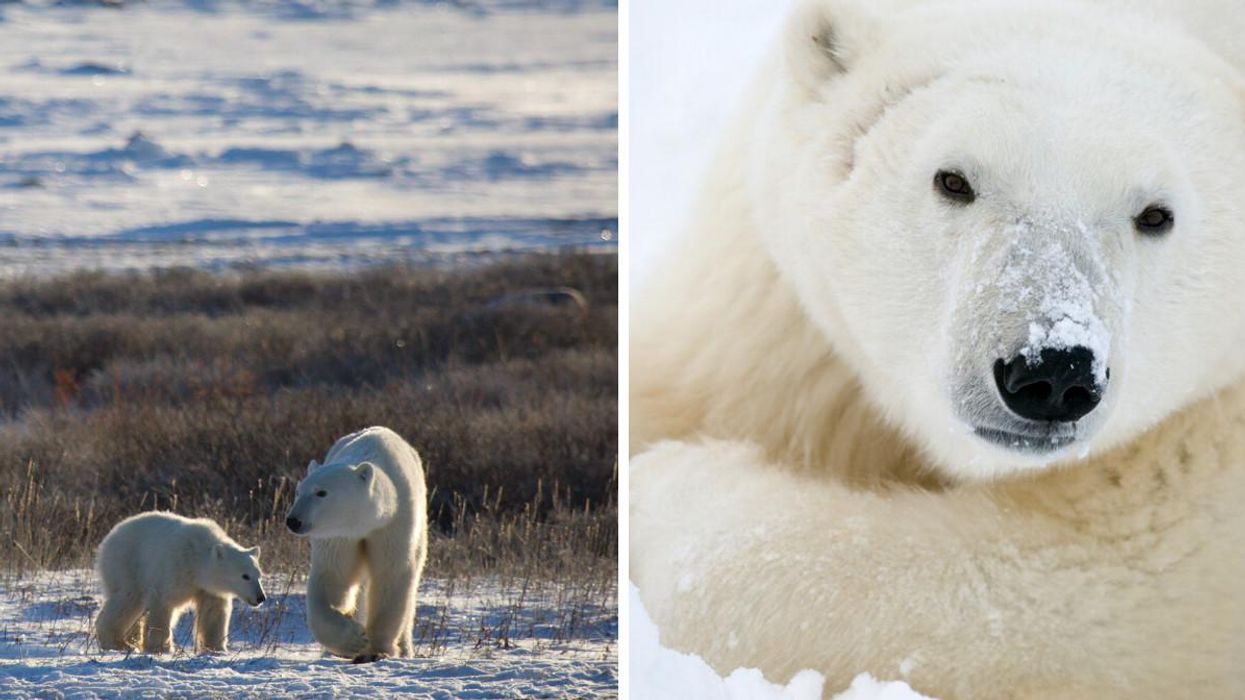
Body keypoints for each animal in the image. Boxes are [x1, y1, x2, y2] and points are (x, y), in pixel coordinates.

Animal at [94, 511, 265, 654]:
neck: (196, 558)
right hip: (127, 565)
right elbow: (162, 604)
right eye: (245, 576)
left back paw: (130, 641)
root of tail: (108, 538)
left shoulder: (208, 588)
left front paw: (216, 649)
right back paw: (118, 643)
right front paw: (160, 648)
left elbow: (213, 612)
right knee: (128, 599)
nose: (260, 597)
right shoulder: (175, 569)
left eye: (259, 575)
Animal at [285, 426, 428, 663]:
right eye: (298, 491)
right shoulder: (340, 536)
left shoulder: (394, 523)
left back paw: (406, 649)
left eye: (321, 492)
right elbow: (333, 578)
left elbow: (391, 576)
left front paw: (377, 649)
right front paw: (354, 639)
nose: (293, 520)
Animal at [630, 0, 1245, 697]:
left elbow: (1102, 580)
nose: (1053, 372)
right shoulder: (766, 315)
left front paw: (668, 487)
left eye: (1156, 215)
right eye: (953, 179)